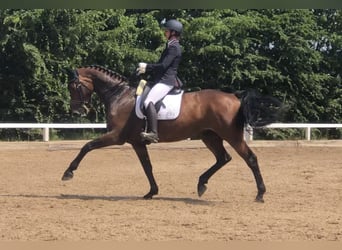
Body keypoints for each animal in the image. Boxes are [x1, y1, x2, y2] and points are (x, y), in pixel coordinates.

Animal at [62, 63, 284, 202]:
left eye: (73, 86)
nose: (77, 111)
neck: (119, 95)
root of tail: (234, 97)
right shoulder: (137, 142)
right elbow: (147, 167)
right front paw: (152, 192)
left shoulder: (117, 137)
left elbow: (87, 146)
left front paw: (68, 172)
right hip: (209, 136)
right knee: (223, 158)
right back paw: (201, 184)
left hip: (232, 136)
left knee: (250, 158)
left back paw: (260, 194)